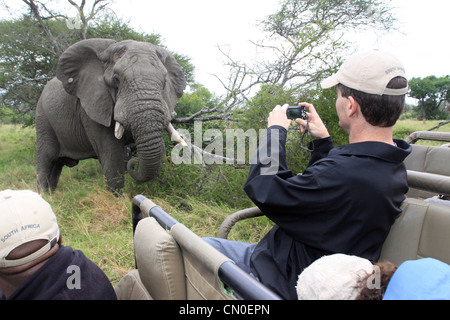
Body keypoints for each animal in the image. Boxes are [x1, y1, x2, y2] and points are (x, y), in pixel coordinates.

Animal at [34, 37, 186, 192]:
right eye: (116, 79)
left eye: (165, 82)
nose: (133, 162)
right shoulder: (91, 108)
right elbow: (112, 156)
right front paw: (117, 197)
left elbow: (161, 151)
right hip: (42, 117)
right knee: (47, 158)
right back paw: (43, 195)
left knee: (57, 164)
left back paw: (50, 194)